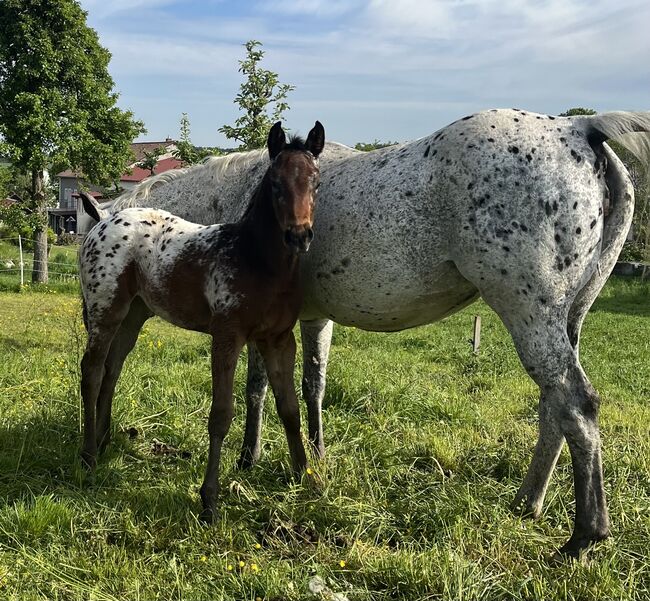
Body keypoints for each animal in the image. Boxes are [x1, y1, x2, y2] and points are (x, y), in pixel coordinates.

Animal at [79, 122, 324, 520]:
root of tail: (104, 221)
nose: (299, 235)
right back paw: (87, 456)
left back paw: (102, 441)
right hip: (106, 309)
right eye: (275, 182)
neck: (257, 261)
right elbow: (221, 414)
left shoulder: (279, 339)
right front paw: (209, 500)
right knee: (92, 370)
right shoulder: (226, 335)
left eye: (315, 182)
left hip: (134, 315)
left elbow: (289, 409)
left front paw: (305, 476)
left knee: (112, 369)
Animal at [104, 110, 644, 556]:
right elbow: (311, 387)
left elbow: (257, 388)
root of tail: (580, 128)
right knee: (556, 408)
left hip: (531, 316)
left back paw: (583, 536)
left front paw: (249, 458)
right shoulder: (311, 319)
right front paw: (314, 460)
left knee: (576, 405)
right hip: (566, 321)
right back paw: (527, 502)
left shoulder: (258, 323)